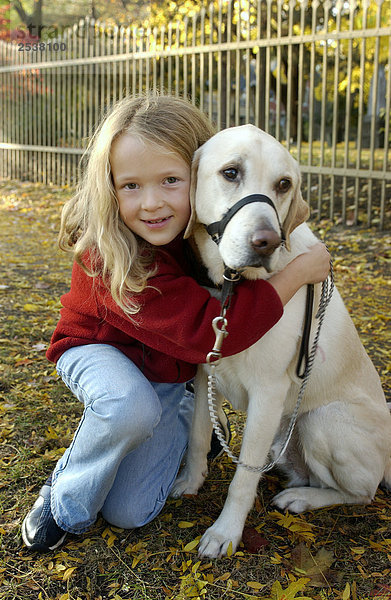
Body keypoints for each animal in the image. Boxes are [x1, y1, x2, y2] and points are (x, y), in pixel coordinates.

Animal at [173, 124, 391, 560]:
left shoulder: (268, 392)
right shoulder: (206, 372)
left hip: (321, 421)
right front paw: (191, 481)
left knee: (362, 493)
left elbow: (242, 478)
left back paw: (303, 499)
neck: (233, 289)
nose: (267, 241)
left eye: (284, 184)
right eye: (230, 172)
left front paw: (225, 532)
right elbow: (197, 437)